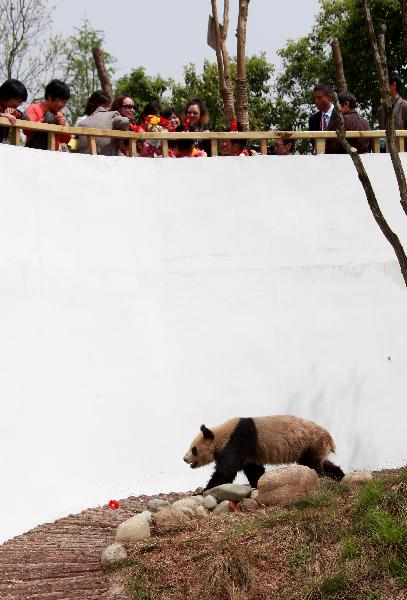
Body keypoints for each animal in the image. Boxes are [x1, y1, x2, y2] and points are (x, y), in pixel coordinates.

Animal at [183, 414, 346, 490]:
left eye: (193, 449)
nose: (185, 459)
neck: (221, 435)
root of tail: (329, 438)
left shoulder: (237, 442)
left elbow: (226, 471)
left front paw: (205, 489)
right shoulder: (250, 454)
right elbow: (253, 470)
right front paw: (257, 483)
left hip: (311, 442)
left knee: (312, 464)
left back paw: (323, 476)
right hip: (312, 446)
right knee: (320, 462)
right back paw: (339, 475)